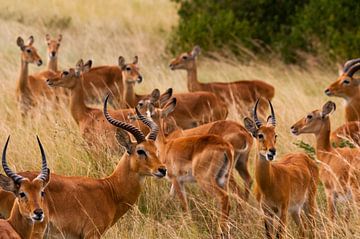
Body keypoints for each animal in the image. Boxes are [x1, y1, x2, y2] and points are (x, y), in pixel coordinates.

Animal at [245, 99, 318, 239]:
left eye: (275, 135)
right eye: (260, 135)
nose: (272, 151)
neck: (269, 182)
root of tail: (305, 156)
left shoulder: (282, 210)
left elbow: (279, 235)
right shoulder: (266, 212)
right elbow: (269, 235)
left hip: (309, 203)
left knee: (312, 229)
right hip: (295, 210)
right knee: (303, 230)